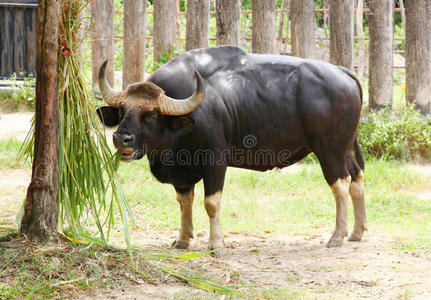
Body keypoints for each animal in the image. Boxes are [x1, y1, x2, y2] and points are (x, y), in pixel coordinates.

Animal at [98, 45, 368, 254]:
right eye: (122, 111)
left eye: (151, 114)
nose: (121, 138)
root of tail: (344, 72)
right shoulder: (182, 172)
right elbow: (184, 202)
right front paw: (182, 240)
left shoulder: (215, 162)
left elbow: (211, 203)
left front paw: (216, 244)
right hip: (344, 149)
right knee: (357, 177)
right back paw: (357, 232)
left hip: (329, 150)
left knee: (340, 184)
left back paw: (337, 236)